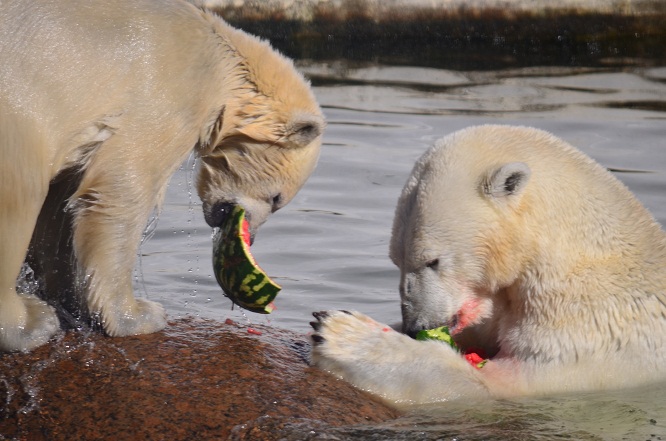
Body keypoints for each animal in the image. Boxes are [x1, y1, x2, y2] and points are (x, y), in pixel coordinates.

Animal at [0, 0, 322, 350]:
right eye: (276, 199)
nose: (252, 236)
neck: (220, 64)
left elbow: (60, 204)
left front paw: (71, 302)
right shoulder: (166, 95)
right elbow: (120, 192)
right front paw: (139, 316)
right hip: (17, 115)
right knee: (19, 196)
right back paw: (30, 324)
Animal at [310, 124, 664, 406]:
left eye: (431, 261)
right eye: (396, 260)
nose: (415, 325)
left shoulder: (584, 334)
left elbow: (492, 382)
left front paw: (341, 334)